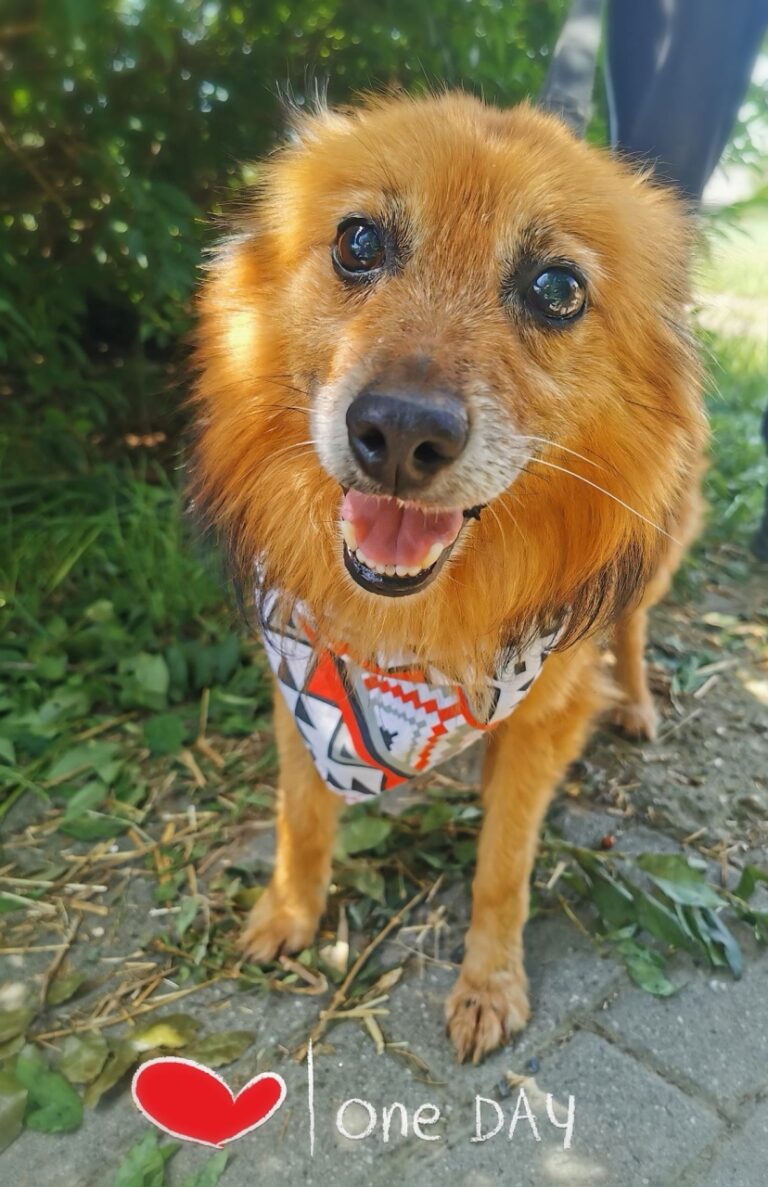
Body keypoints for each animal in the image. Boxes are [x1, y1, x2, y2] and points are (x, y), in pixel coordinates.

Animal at [193, 87, 707, 1063]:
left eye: (557, 288)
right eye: (359, 242)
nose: (399, 433)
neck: (415, 635)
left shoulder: (542, 716)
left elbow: (503, 866)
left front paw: (489, 984)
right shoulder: (298, 666)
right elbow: (301, 816)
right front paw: (288, 912)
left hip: (657, 555)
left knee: (630, 625)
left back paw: (636, 700)